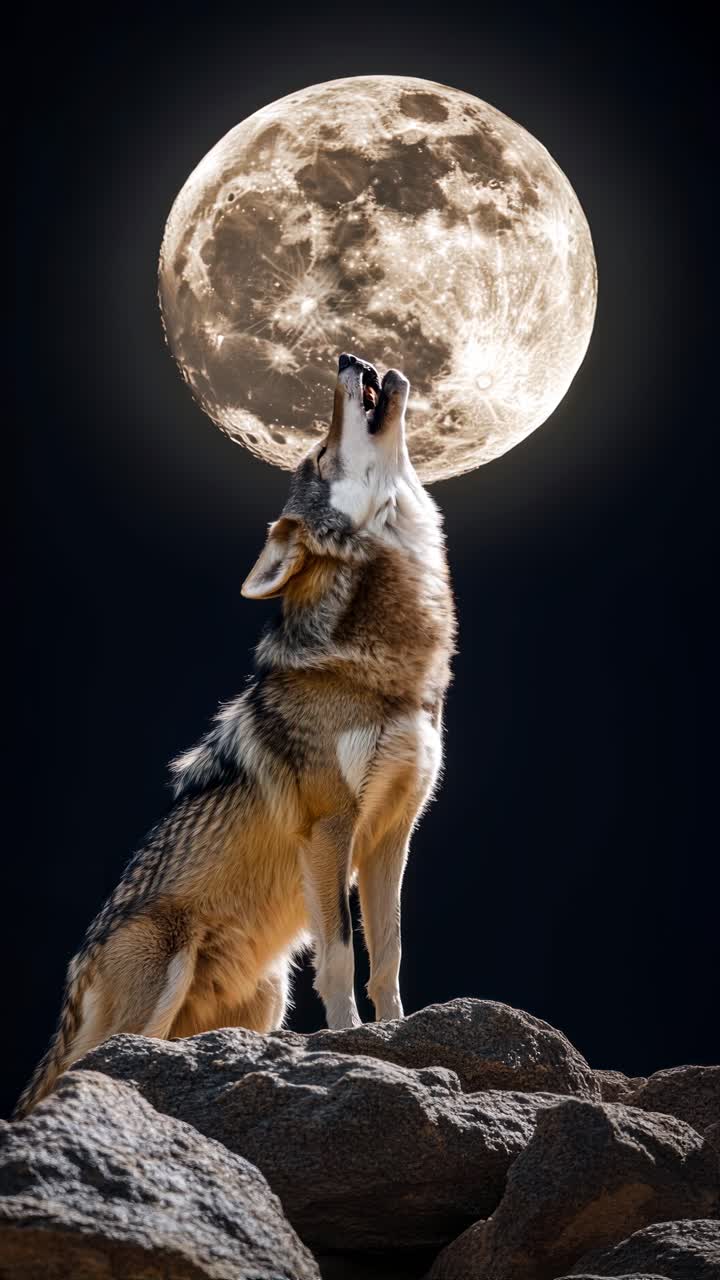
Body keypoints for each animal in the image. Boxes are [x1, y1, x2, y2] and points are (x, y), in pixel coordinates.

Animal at [15, 352, 456, 1117]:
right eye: (318, 455)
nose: (349, 360)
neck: (390, 669)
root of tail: (75, 978)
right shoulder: (331, 824)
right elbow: (342, 953)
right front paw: (349, 1040)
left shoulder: (393, 830)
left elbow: (389, 953)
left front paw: (395, 1035)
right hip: (164, 969)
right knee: (103, 1064)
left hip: (266, 997)